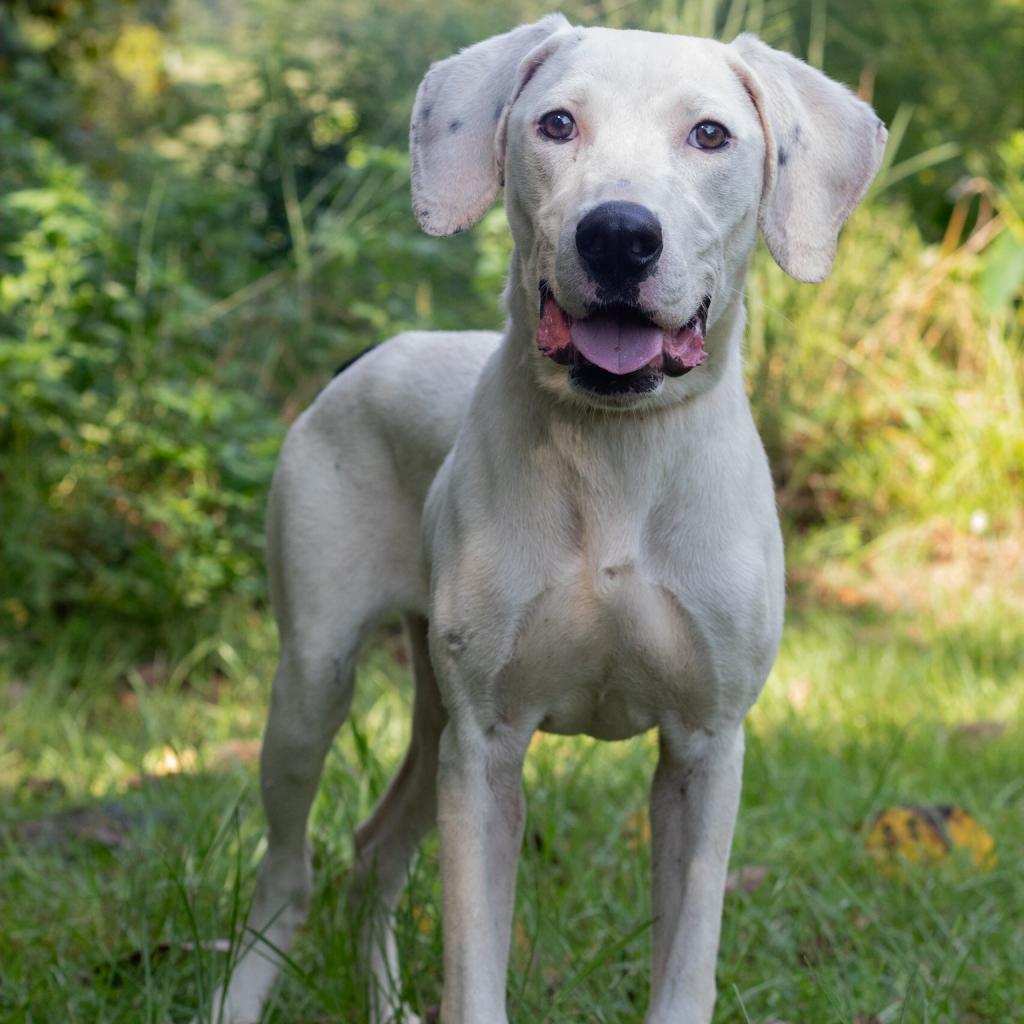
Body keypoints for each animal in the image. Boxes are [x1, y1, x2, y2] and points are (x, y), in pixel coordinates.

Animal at [205, 16, 880, 1024]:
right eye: (557, 123)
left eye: (711, 134)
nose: (619, 235)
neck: (616, 459)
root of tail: (369, 355)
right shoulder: (487, 750)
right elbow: (474, 968)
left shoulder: (705, 751)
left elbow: (687, 966)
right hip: (314, 684)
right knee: (286, 876)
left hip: (433, 713)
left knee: (374, 850)